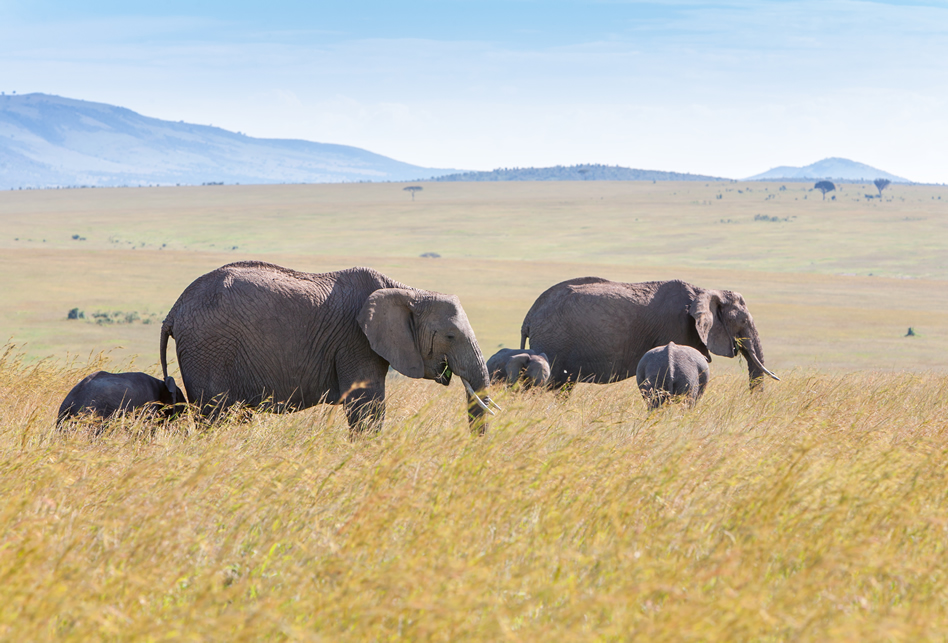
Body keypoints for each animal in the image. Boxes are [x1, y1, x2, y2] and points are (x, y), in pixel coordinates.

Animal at [158, 262, 492, 438]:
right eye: (450, 336)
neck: (409, 292)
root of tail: (174, 309)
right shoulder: (355, 342)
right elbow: (366, 408)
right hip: (208, 349)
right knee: (216, 415)